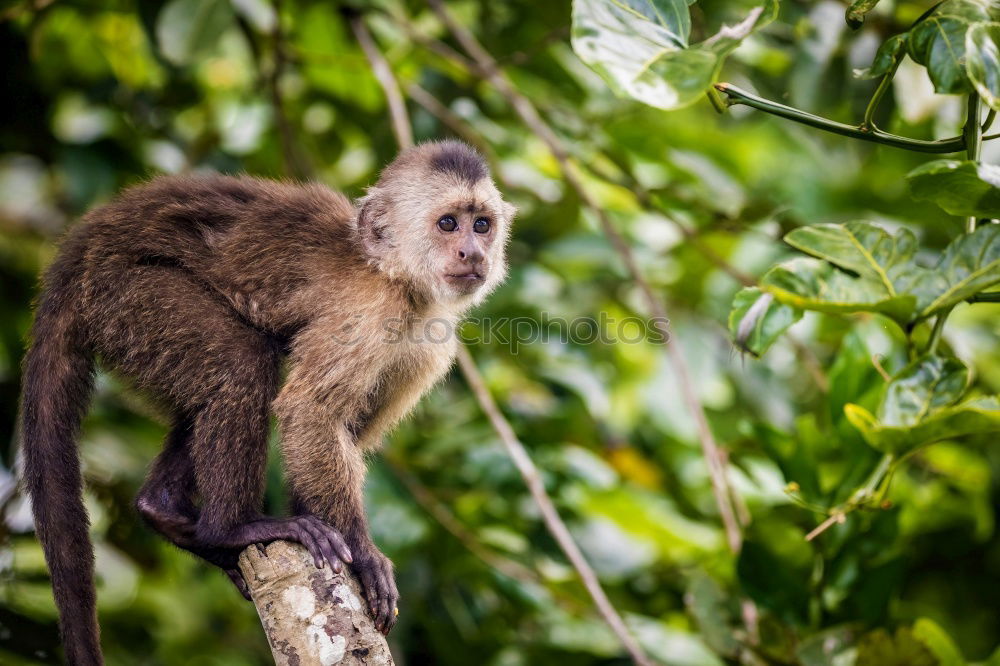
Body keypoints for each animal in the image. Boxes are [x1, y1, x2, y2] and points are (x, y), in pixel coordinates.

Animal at [19, 139, 516, 660]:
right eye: (448, 224)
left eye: (482, 224)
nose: (471, 251)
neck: (394, 276)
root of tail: (80, 247)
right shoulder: (368, 313)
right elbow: (310, 413)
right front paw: (362, 553)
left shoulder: (428, 343)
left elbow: (343, 435)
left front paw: (320, 523)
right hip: (124, 296)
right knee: (242, 361)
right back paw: (233, 529)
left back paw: (166, 510)